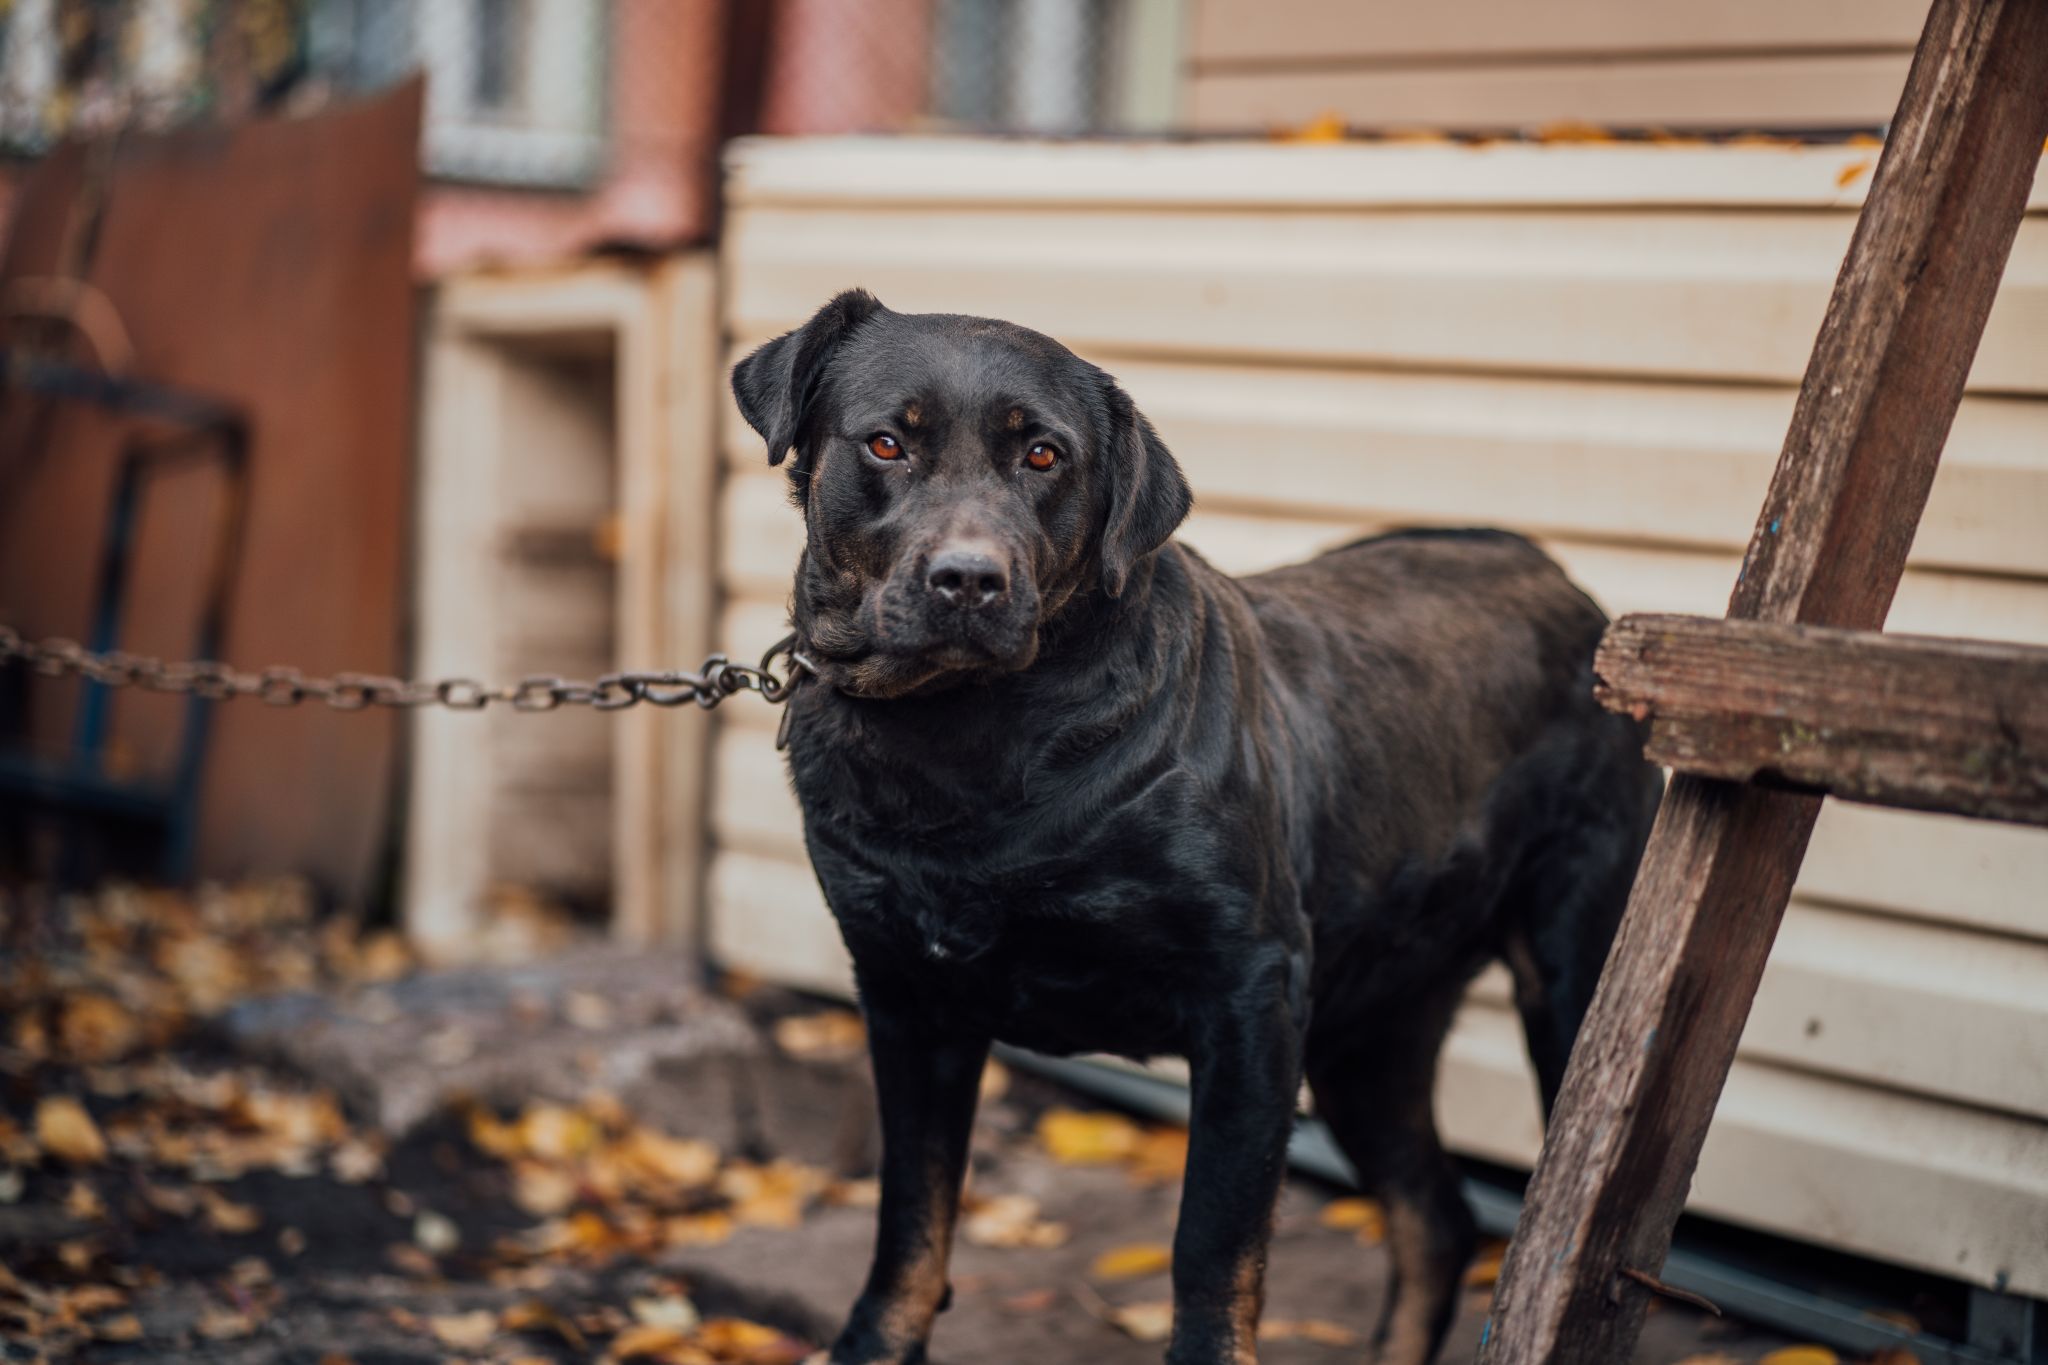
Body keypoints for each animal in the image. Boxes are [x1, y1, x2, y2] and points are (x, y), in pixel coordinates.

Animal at [737, 296, 1662, 1365]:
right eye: (887, 442)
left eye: (1044, 456)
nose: (968, 579)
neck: (968, 750)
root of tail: (1555, 573)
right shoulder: (905, 997)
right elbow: (909, 1225)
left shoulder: (1251, 998)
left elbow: (1213, 1250)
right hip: (1368, 1026)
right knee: (1437, 1216)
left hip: (1572, 974)